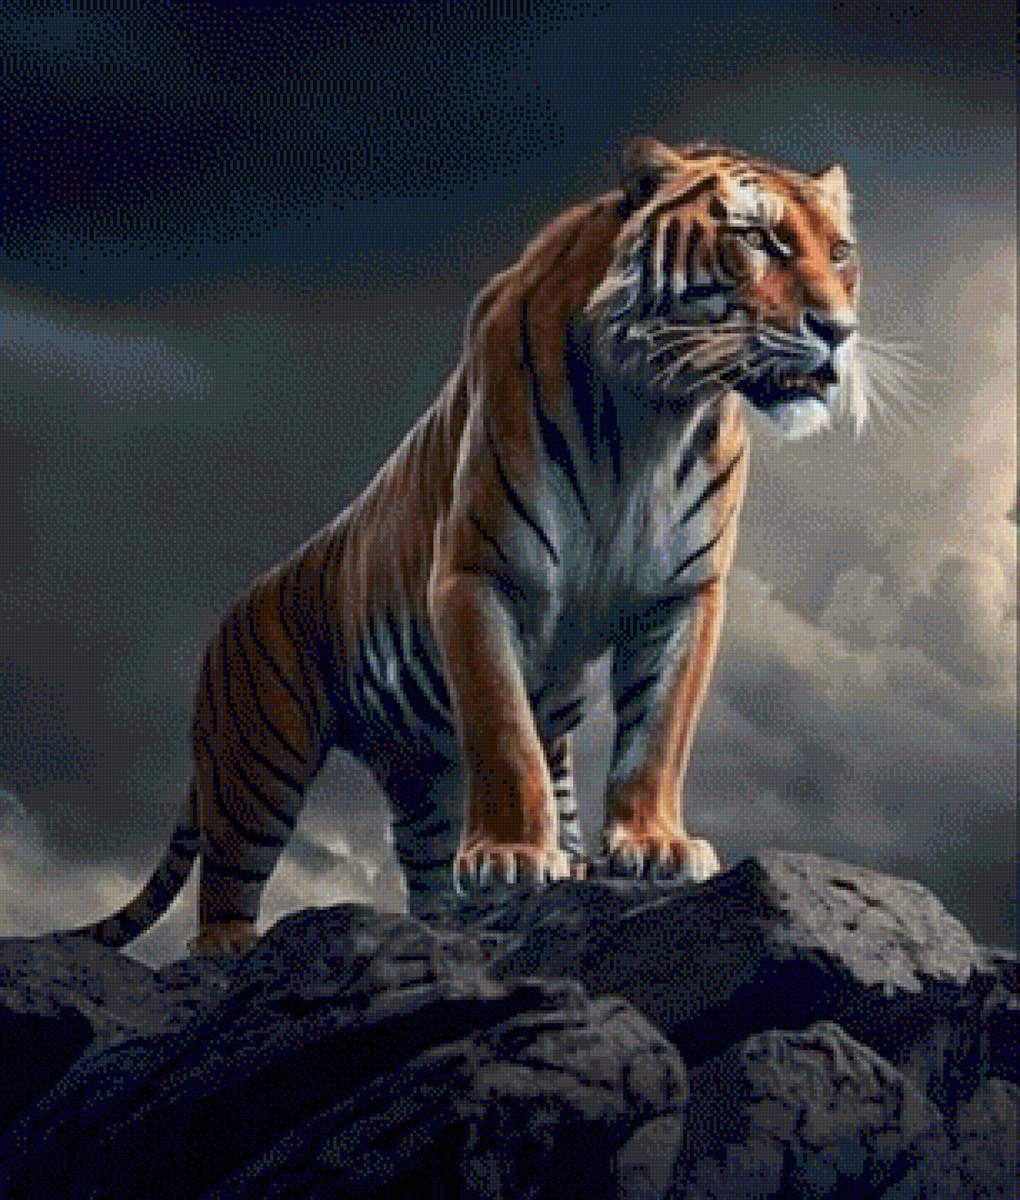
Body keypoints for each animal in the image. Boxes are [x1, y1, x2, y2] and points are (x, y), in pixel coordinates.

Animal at [65, 136, 862, 954]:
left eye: (840, 253)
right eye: (756, 239)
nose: (838, 330)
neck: (651, 413)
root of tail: (229, 618)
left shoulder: (682, 594)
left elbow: (658, 730)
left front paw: (652, 846)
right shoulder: (479, 577)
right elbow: (504, 731)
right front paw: (512, 857)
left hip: (418, 777)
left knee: (428, 871)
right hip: (257, 763)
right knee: (224, 894)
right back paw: (236, 948)